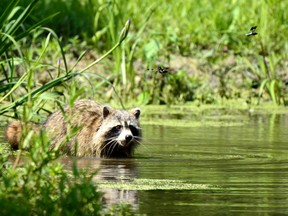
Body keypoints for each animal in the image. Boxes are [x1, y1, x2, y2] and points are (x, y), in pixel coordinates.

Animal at [5, 100, 142, 159]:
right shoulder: (87, 143)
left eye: (131, 127)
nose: (128, 137)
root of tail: (45, 125)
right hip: (57, 136)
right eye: (118, 127)